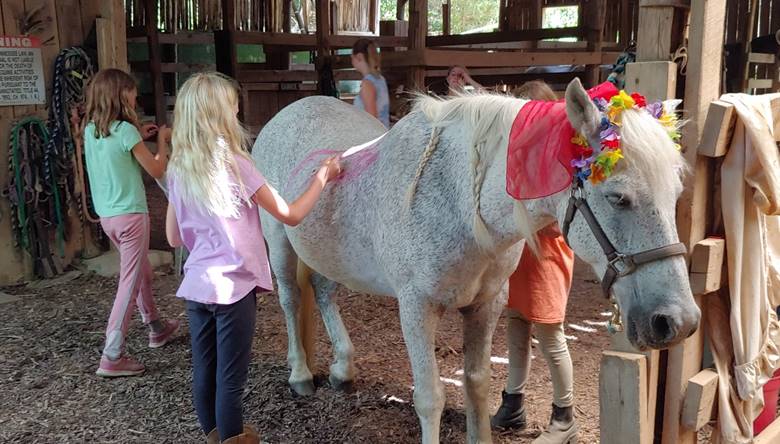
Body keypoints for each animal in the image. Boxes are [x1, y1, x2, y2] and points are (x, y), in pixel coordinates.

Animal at [251, 78, 701, 443]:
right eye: (617, 197)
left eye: (678, 192)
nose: (678, 321)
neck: (463, 203)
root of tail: (287, 112)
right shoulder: (416, 308)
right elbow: (429, 397)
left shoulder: (487, 304)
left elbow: (477, 384)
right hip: (279, 241)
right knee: (291, 299)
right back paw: (300, 375)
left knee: (323, 291)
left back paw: (342, 368)